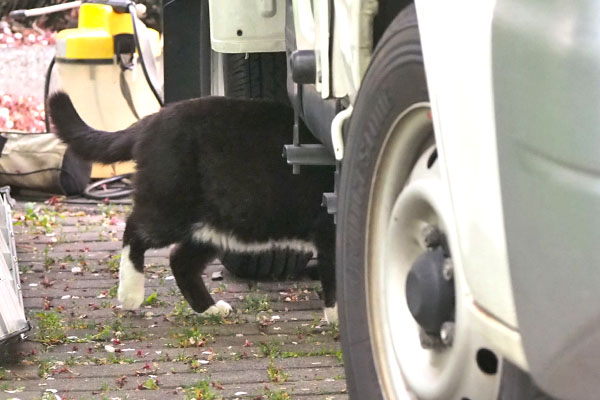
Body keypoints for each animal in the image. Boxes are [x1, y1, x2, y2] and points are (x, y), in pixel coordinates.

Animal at [48, 91, 338, 322]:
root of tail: (151, 120)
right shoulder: (330, 230)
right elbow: (336, 279)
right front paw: (336, 319)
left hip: (220, 221)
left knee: (181, 260)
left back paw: (208, 308)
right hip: (171, 205)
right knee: (135, 231)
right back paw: (130, 294)